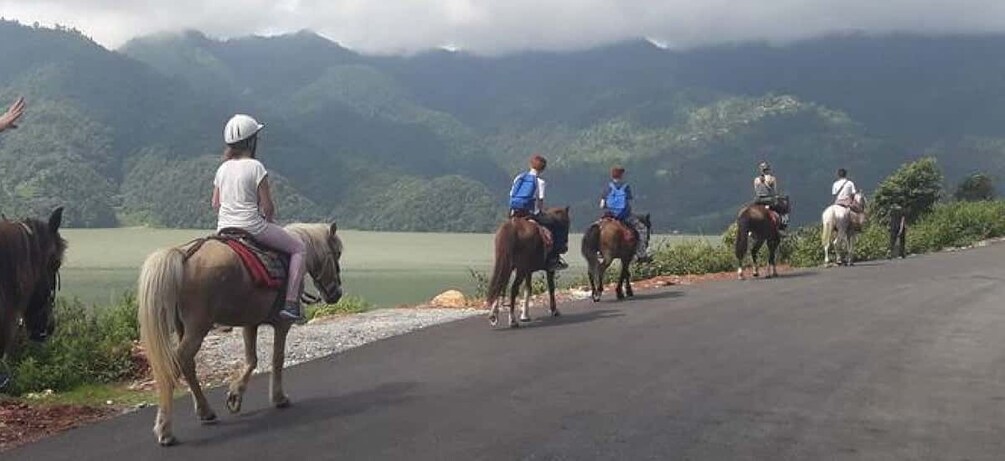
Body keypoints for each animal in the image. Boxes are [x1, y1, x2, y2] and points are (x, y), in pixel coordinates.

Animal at [137, 223, 343, 447]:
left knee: (187, 364)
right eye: (337, 253)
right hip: (197, 328)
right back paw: (165, 430)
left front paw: (235, 395)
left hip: (183, 327)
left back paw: (205, 412)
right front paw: (279, 398)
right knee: (176, 363)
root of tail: (184, 256)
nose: (336, 293)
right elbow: (277, 359)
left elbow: (252, 360)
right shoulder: (282, 324)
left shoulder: (249, 323)